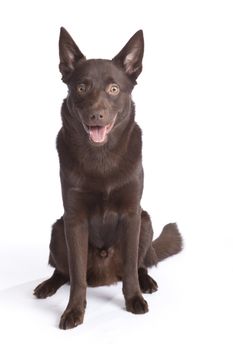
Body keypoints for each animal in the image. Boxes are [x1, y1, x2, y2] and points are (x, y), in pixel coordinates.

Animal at [33, 27, 183, 328]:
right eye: (81, 87)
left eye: (114, 89)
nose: (96, 115)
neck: (101, 157)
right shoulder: (74, 219)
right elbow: (77, 275)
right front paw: (73, 310)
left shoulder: (131, 213)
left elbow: (130, 269)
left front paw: (134, 298)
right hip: (57, 228)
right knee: (64, 272)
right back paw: (47, 285)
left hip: (145, 221)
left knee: (138, 263)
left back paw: (147, 281)